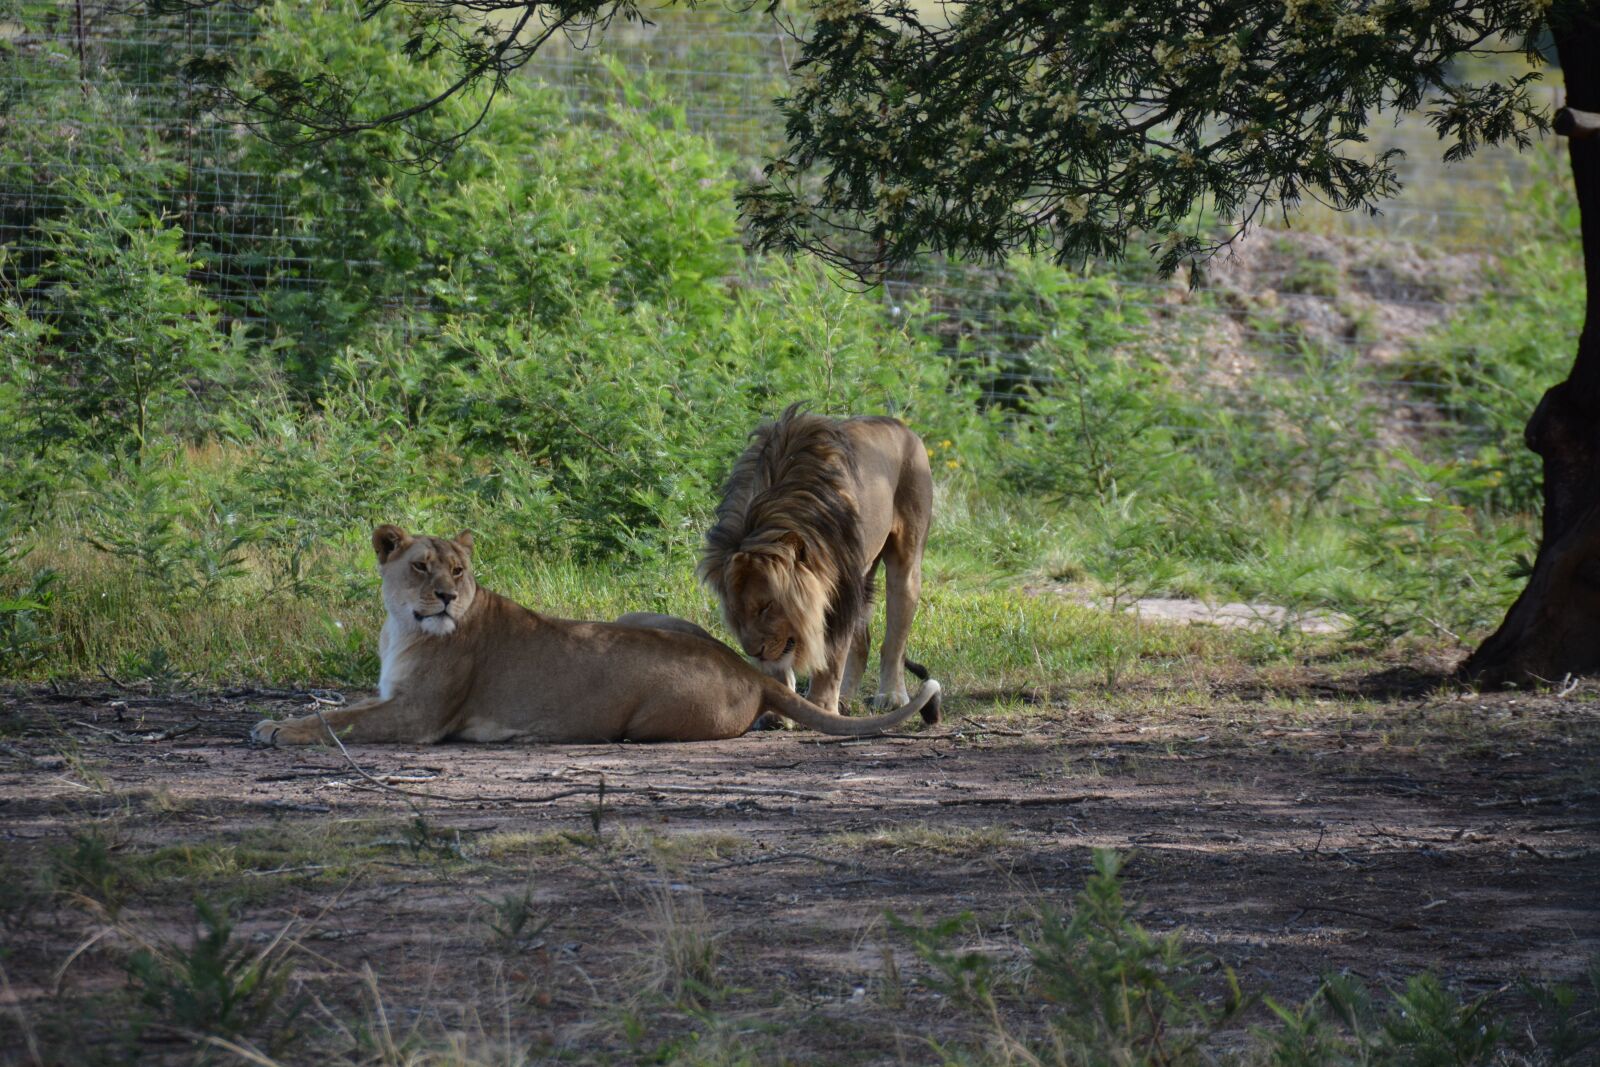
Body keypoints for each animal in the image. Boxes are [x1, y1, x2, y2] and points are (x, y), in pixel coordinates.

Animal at [250, 526, 940, 746]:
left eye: (459, 571)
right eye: (421, 566)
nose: (445, 595)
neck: (402, 627)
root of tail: (742, 667)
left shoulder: (421, 717)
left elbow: (341, 722)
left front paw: (281, 731)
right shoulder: (396, 697)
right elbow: (346, 706)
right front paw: (273, 721)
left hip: (645, 721)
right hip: (640, 616)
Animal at [698, 405, 937, 722]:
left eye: (767, 605)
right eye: (736, 611)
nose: (753, 651)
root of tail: (901, 425)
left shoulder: (837, 589)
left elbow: (831, 658)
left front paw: (822, 707)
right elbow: (781, 662)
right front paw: (779, 712)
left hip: (905, 565)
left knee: (893, 644)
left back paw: (891, 696)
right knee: (862, 643)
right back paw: (845, 699)